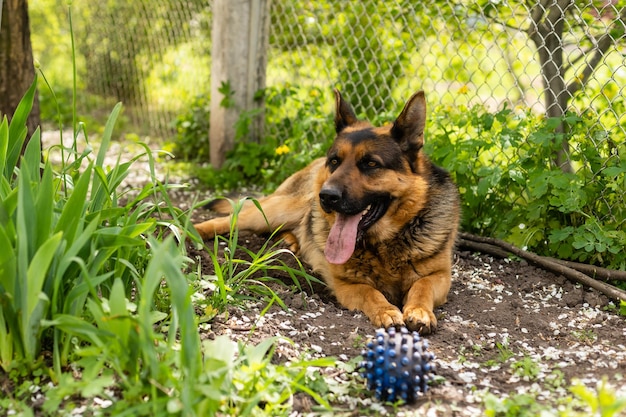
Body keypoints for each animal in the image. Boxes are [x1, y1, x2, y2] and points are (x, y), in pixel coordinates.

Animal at [194, 89, 458, 334]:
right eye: (335, 161)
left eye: (371, 164)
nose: (326, 196)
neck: (384, 245)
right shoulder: (346, 284)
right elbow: (370, 291)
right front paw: (386, 310)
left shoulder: (441, 276)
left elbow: (422, 287)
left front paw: (419, 311)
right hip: (275, 211)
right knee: (230, 219)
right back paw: (190, 229)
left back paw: (290, 241)